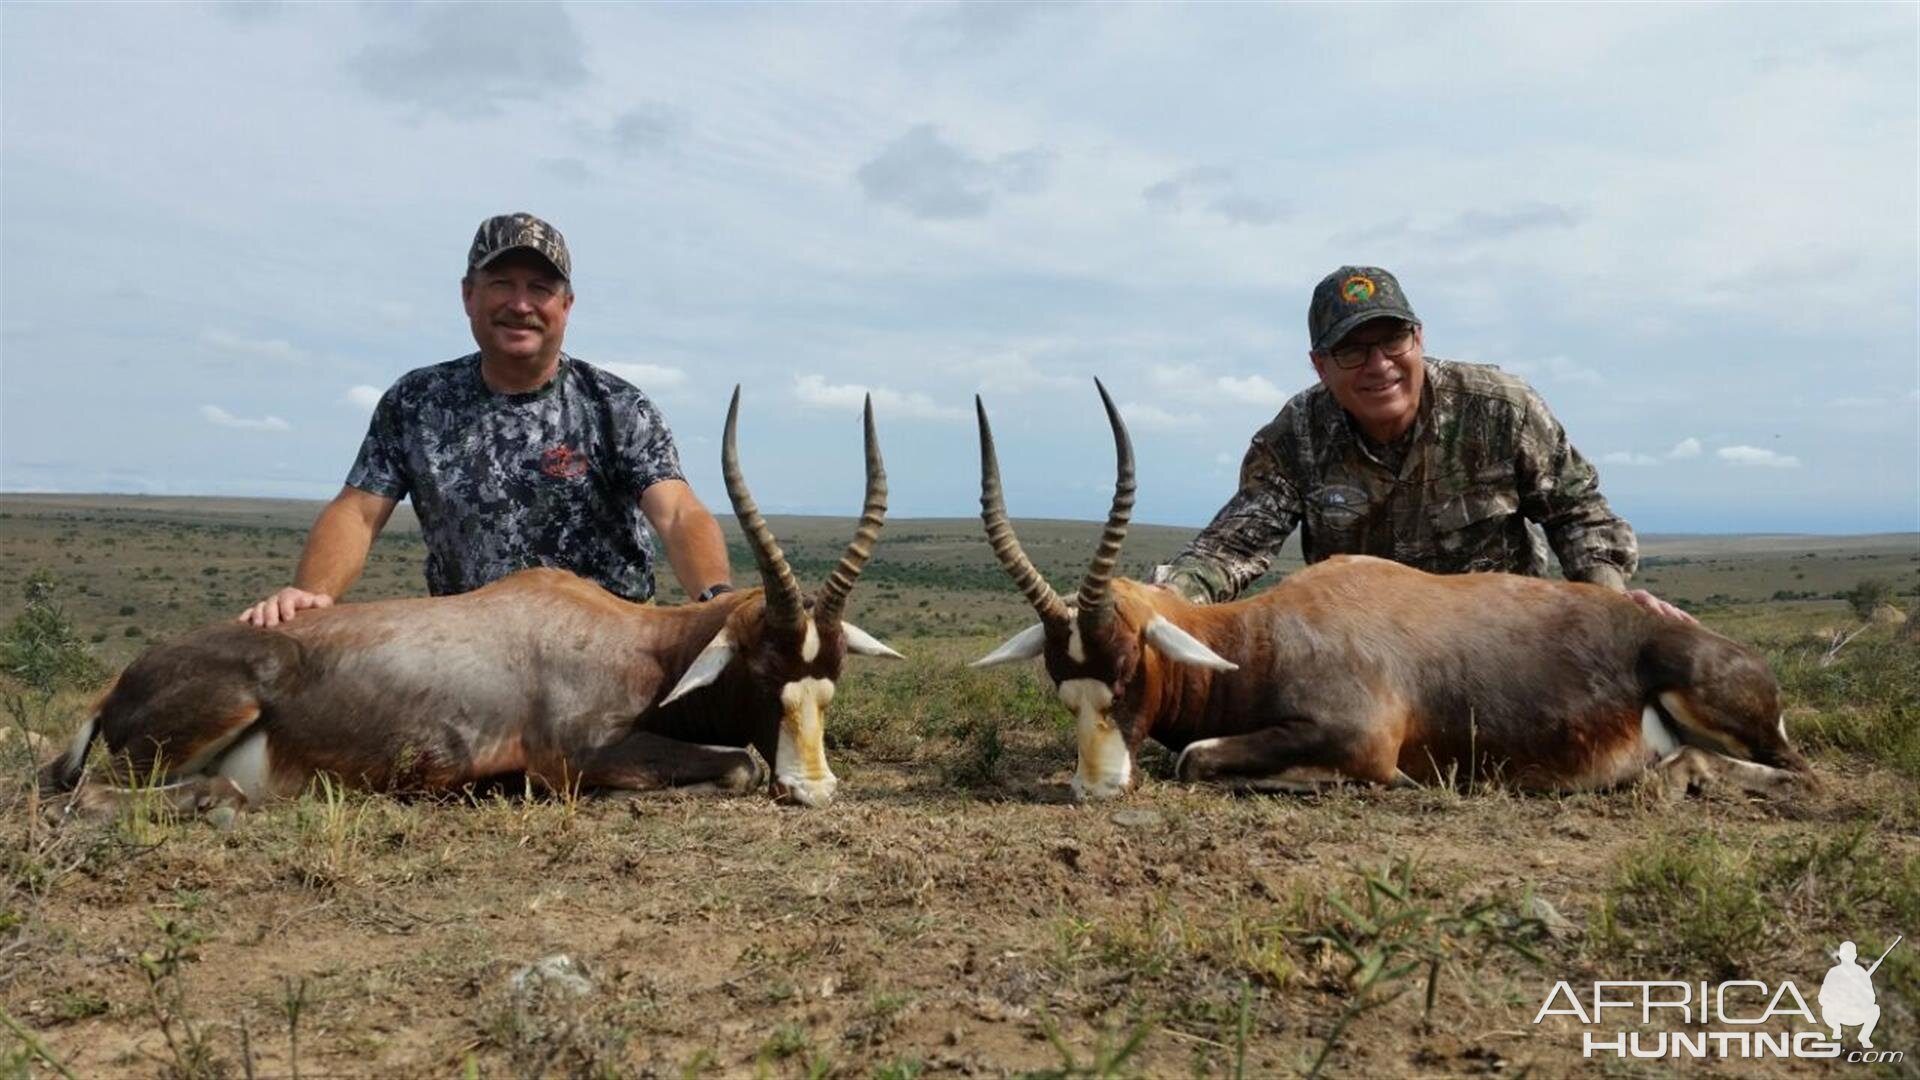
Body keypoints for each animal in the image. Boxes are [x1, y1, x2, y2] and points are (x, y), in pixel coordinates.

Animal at [39, 386, 898, 807]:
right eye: (762, 672)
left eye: (831, 680)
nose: (816, 789)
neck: (641, 643)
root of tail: (117, 688)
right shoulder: (575, 755)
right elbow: (741, 764)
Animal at [975, 384, 1812, 799]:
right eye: (1063, 688)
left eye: (1127, 671)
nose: (1095, 789)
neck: (1260, 638)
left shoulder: (1360, 738)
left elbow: (1196, 759)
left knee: (1788, 770)